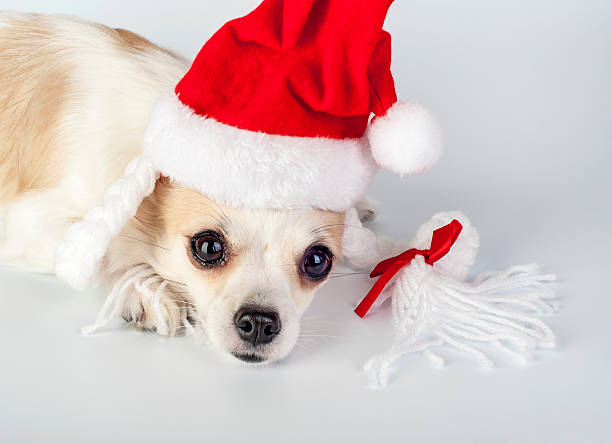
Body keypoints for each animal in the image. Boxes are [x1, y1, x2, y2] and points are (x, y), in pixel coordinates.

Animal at [0, 13, 378, 364]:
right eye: (209, 247)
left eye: (317, 261)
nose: (259, 322)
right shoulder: (25, 223)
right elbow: (109, 250)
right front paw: (149, 290)